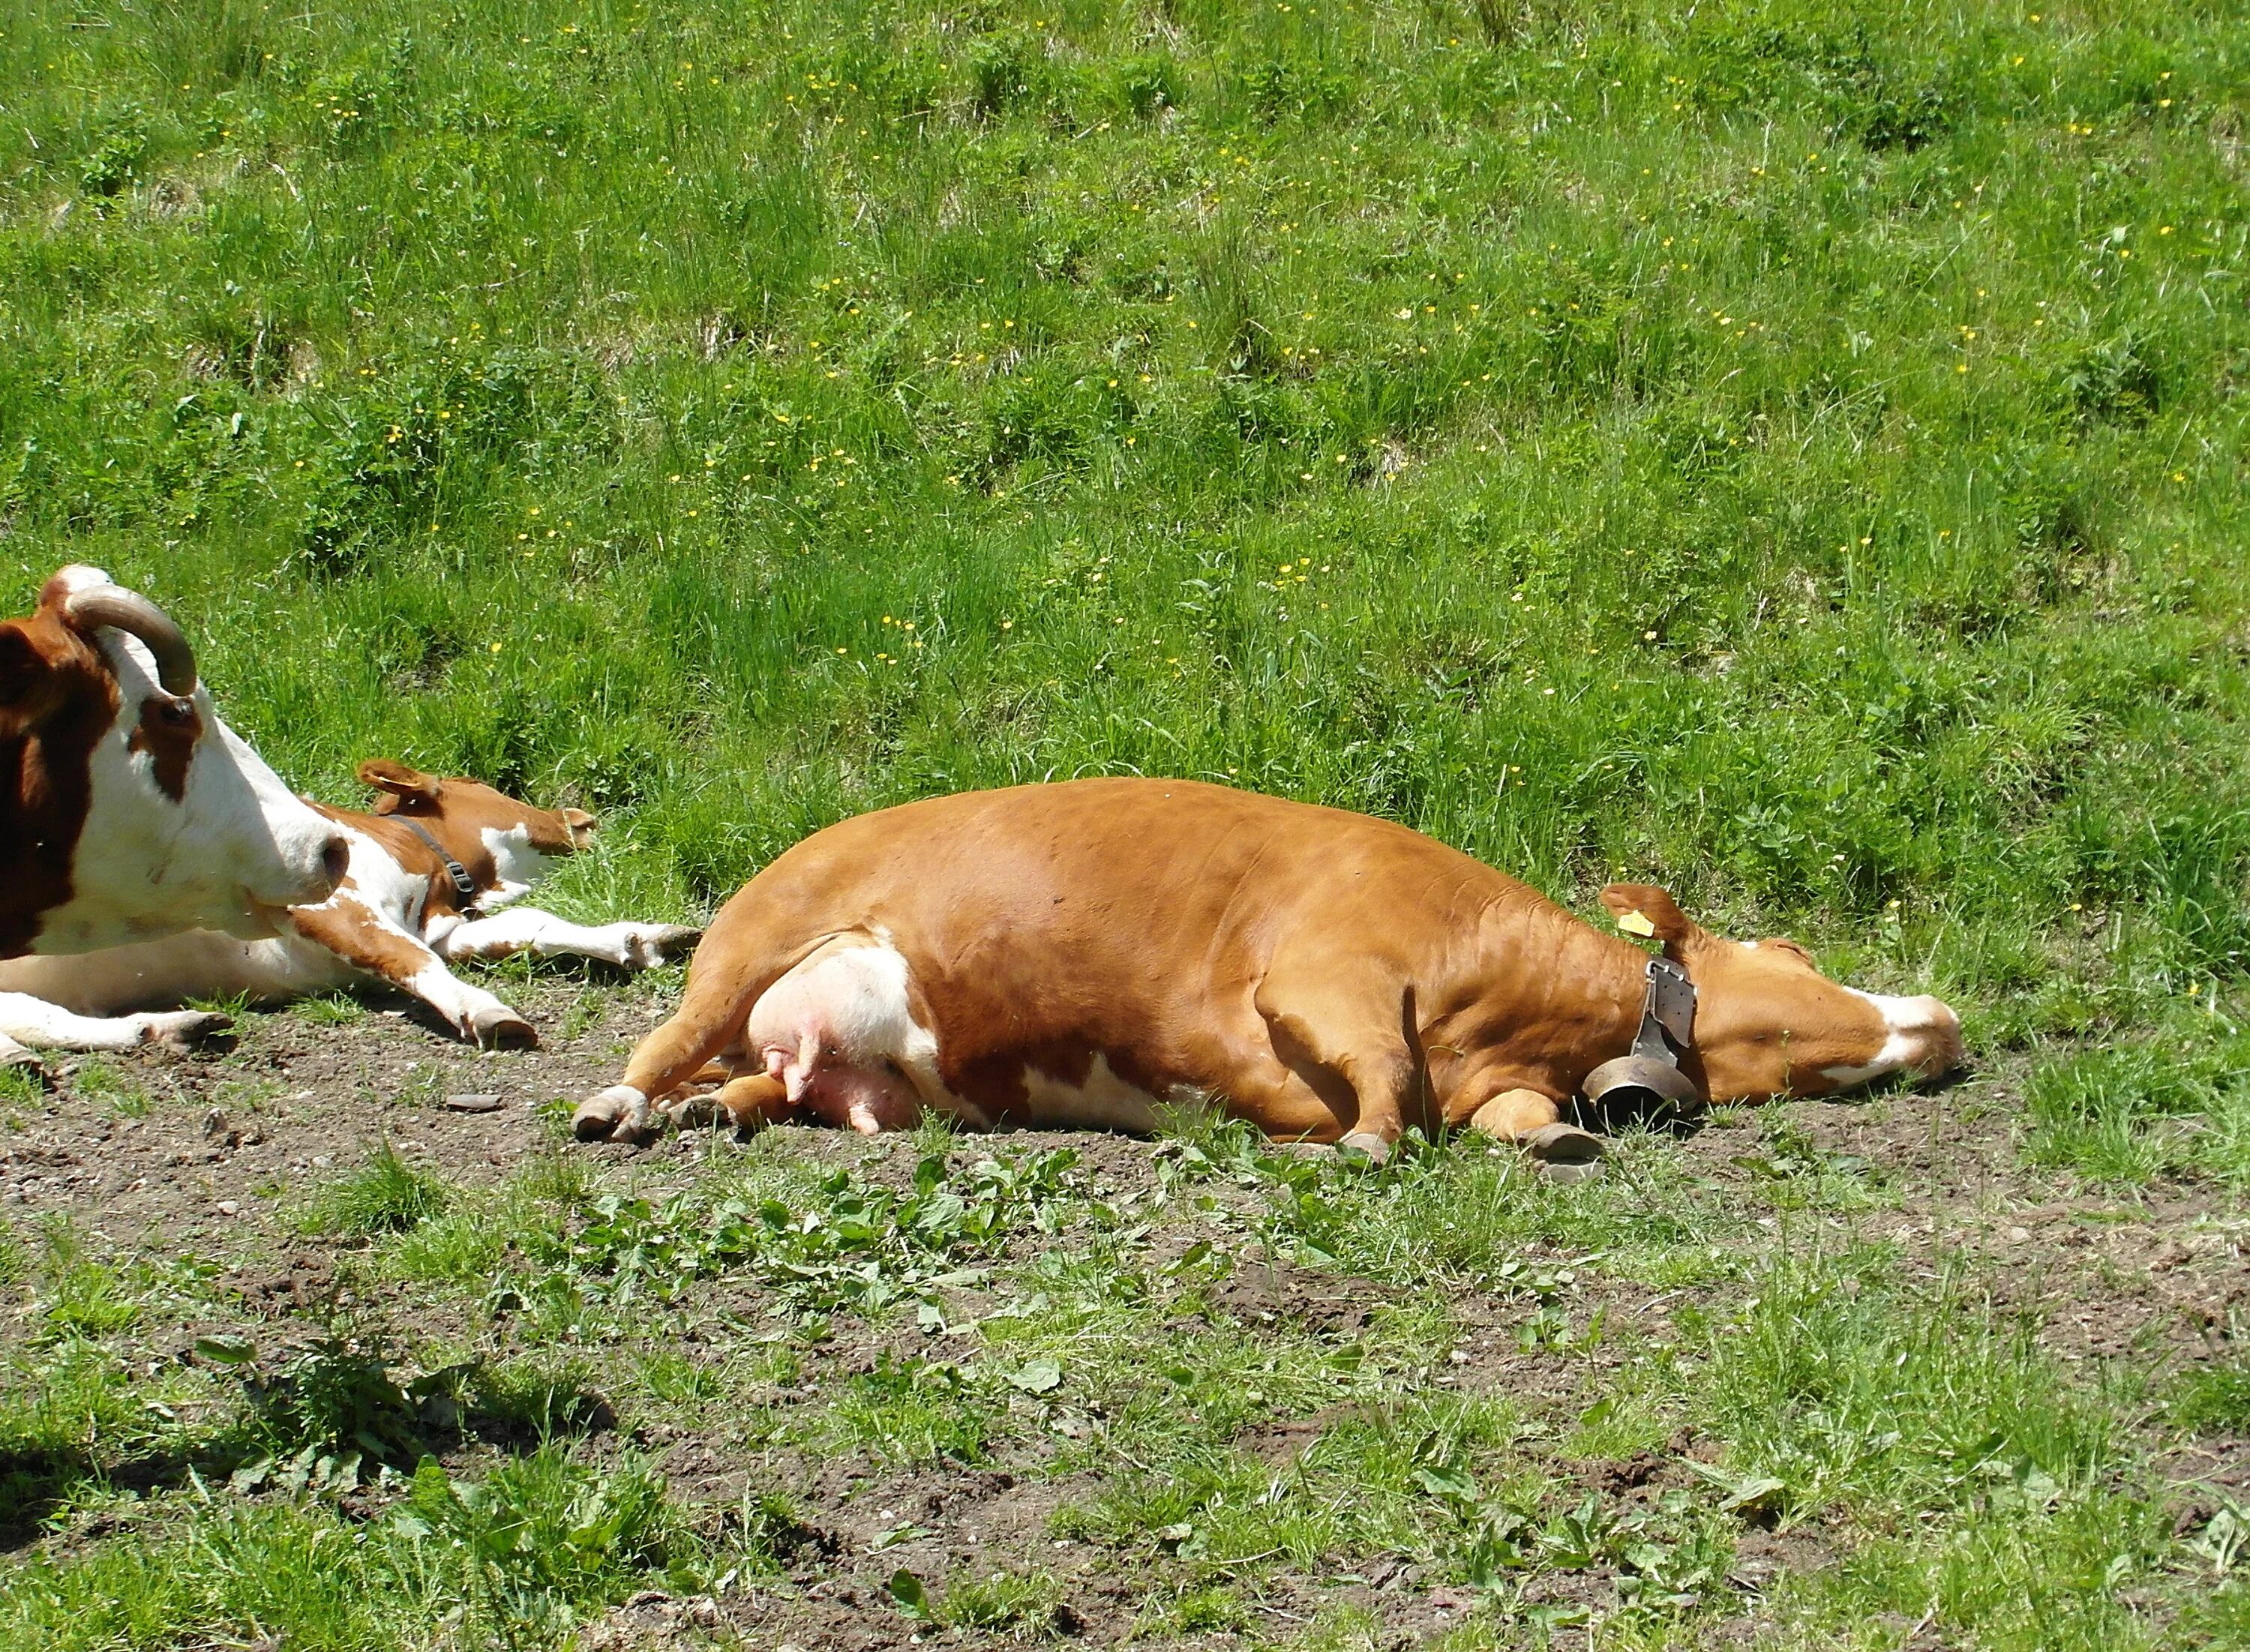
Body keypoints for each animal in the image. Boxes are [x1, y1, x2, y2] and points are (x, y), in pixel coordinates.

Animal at [0, 760, 698, 1062]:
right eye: (489, 787)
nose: (581, 815)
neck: (434, 877)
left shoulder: (439, 928)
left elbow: (530, 926)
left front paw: (640, 937)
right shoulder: (333, 903)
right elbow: (411, 961)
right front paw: (486, 1011)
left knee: (43, 1021)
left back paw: (175, 1029)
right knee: (44, 1022)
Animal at [572, 778, 1962, 1161]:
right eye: (1788, 963)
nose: (1941, 1016)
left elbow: (1505, 1117)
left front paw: (1558, 1138)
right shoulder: (1324, 974)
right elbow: (1382, 1073)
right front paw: (1366, 1146)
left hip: (859, 1072)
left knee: (764, 1082)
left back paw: (716, 1112)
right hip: (755, 938)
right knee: (666, 1039)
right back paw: (618, 1105)